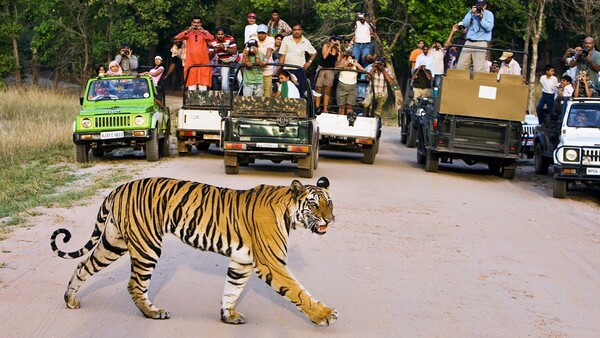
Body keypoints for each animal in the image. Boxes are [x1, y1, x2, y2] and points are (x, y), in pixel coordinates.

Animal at [49, 176, 338, 326]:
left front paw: (228, 315)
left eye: (330, 203)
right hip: (146, 245)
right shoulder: (272, 263)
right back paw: (153, 312)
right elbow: (298, 291)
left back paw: (70, 300)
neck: (289, 213)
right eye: (314, 205)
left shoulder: (241, 262)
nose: (330, 219)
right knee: (134, 284)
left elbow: (232, 289)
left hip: (114, 241)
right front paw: (324, 315)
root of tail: (119, 187)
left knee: (83, 265)